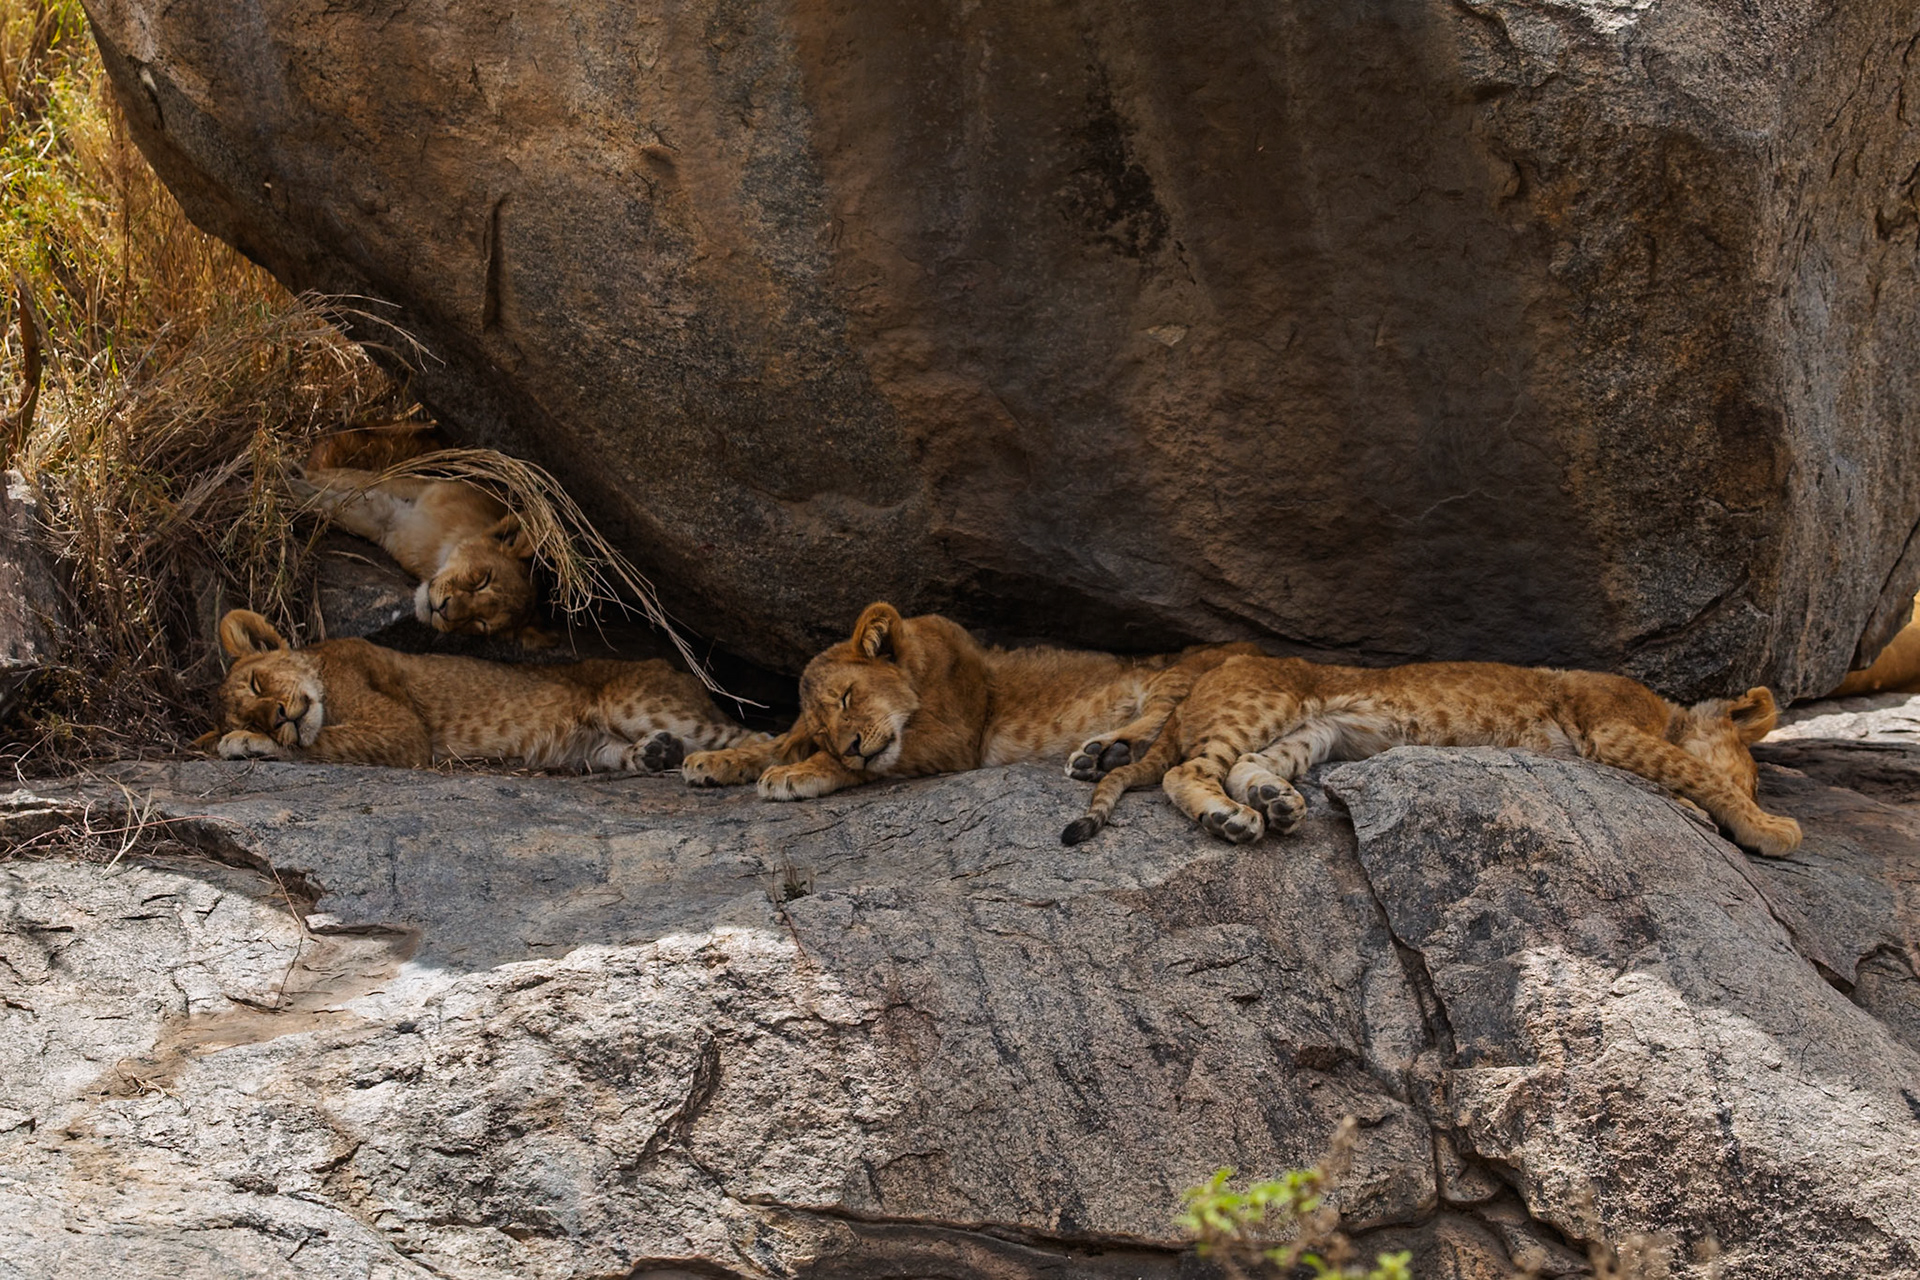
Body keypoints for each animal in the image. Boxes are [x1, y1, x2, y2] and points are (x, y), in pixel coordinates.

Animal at [207, 609, 761, 771]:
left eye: (257, 682)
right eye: (251, 710)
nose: (277, 717)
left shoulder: (403, 731)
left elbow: (321, 742)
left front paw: (245, 744)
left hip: (636, 702)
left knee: (753, 736)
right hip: (592, 748)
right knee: (620, 755)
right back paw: (656, 754)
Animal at [681, 602, 1260, 800]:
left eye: (847, 697)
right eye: (822, 728)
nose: (848, 746)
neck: (919, 668)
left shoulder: (958, 741)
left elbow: (857, 765)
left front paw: (793, 774)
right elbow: (777, 741)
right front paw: (712, 760)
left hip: (1175, 673)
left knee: (1159, 716)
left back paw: (1104, 755)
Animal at [1062, 655, 1802, 858]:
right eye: (1756, 781)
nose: (1763, 801)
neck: (1671, 715)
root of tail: (1211, 668)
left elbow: (1690, 778)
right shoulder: (1611, 728)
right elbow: (1698, 772)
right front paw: (1770, 828)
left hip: (1316, 733)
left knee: (1251, 769)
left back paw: (1276, 805)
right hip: (1263, 700)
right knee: (1186, 770)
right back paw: (1233, 821)